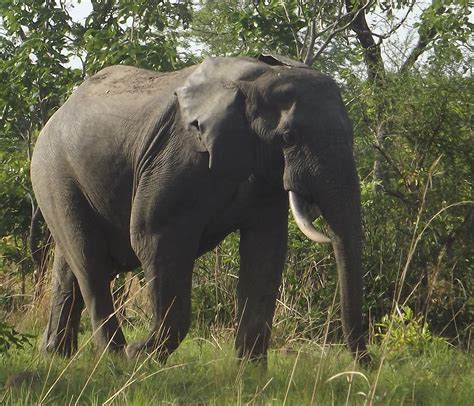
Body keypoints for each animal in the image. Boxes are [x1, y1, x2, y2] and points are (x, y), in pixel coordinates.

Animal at [31, 53, 368, 362]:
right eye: (289, 136)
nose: (367, 363)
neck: (254, 80)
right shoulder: (176, 160)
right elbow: (154, 240)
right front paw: (140, 356)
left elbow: (266, 251)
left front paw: (251, 375)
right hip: (54, 173)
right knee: (91, 262)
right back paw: (113, 357)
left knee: (71, 266)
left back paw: (56, 354)